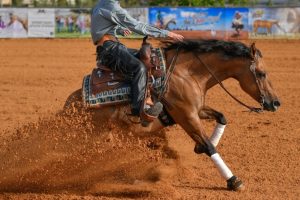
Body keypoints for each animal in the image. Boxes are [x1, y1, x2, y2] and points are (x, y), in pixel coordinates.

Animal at [64, 38, 280, 191]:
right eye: (261, 73)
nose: (276, 103)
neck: (187, 73)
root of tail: (68, 107)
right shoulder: (186, 115)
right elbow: (210, 147)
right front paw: (234, 181)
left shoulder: (197, 110)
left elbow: (221, 117)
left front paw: (198, 147)